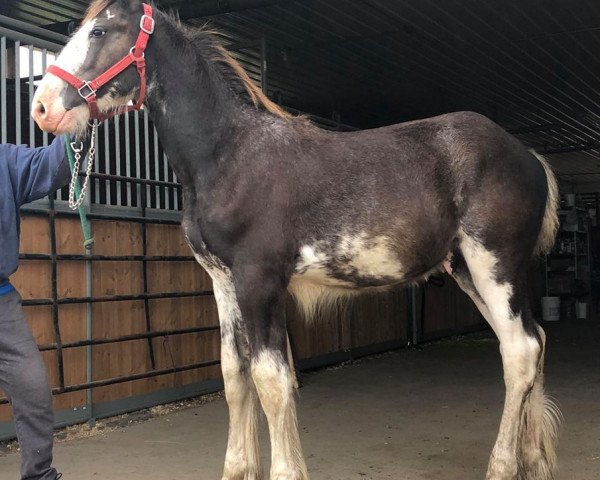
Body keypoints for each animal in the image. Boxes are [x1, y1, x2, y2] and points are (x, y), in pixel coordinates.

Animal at [31, 1, 564, 478]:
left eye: (99, 31)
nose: (42, 108)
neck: (228, 155)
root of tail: (530, 157)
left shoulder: (260, 281)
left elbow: (270, 380)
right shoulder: (225, 284)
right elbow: (234, 376)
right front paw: (237, 469)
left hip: (495, 267)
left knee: (520, 351)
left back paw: (503, 467)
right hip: (470, 272)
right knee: (531, 343)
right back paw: (533, 459)